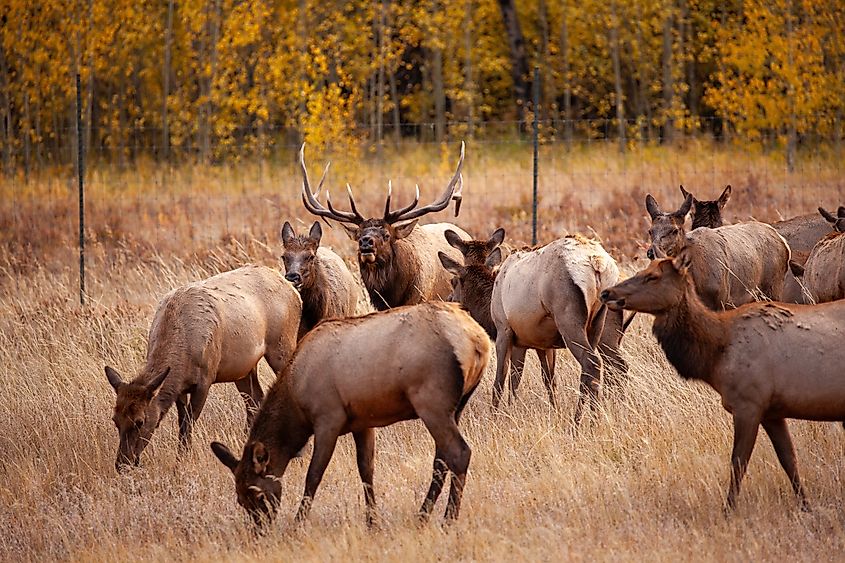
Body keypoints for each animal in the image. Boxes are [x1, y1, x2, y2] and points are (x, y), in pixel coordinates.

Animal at [105, 265, 302, 472]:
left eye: (140, 421)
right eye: (115, 419)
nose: (122, 464)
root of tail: (293, 291)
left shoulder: (205, 379)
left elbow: (188, 423)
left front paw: (182, 461)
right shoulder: (179, 387)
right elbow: (182, 421)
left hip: (282, 344)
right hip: (244, 368)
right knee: (255, 400)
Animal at [211, 301, 490, 527]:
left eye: (257, 493)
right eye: (239, 498)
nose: (259, 529)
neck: (296, 403)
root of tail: (479, 341)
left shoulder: (328, 419)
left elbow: (313, 475)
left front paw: (298, 523)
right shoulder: (363, 422)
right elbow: (366, 470)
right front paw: (372, 522)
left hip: (431, 402)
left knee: (459, 453)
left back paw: (448, 520)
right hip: (456, 406)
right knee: (441, 460)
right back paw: (423, 516)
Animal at [488, 234, 624, 422]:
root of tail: (597, 264)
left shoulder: (504, 330)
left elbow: (501, 378)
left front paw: (495, 417)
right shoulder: (537, 345)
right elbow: (543, 380)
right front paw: (554, 412)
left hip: (568, 320)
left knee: (592, 363)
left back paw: (582, 421)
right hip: (597, 323)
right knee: (589, 370)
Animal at [601, 247, 845, 512]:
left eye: (652, 276)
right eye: (641, 270)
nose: (607, 293)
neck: (715, 357)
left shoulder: (748, 403)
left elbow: (738, 462)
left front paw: (728, 510)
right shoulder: (772, 411)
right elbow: (789, 459)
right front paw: (806, 507)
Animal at [645, 192, 789, 310]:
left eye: (674, 230)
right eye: (650, 231)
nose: (651, 253)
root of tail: (783, 242)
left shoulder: (721, 300)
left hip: (773, 288)